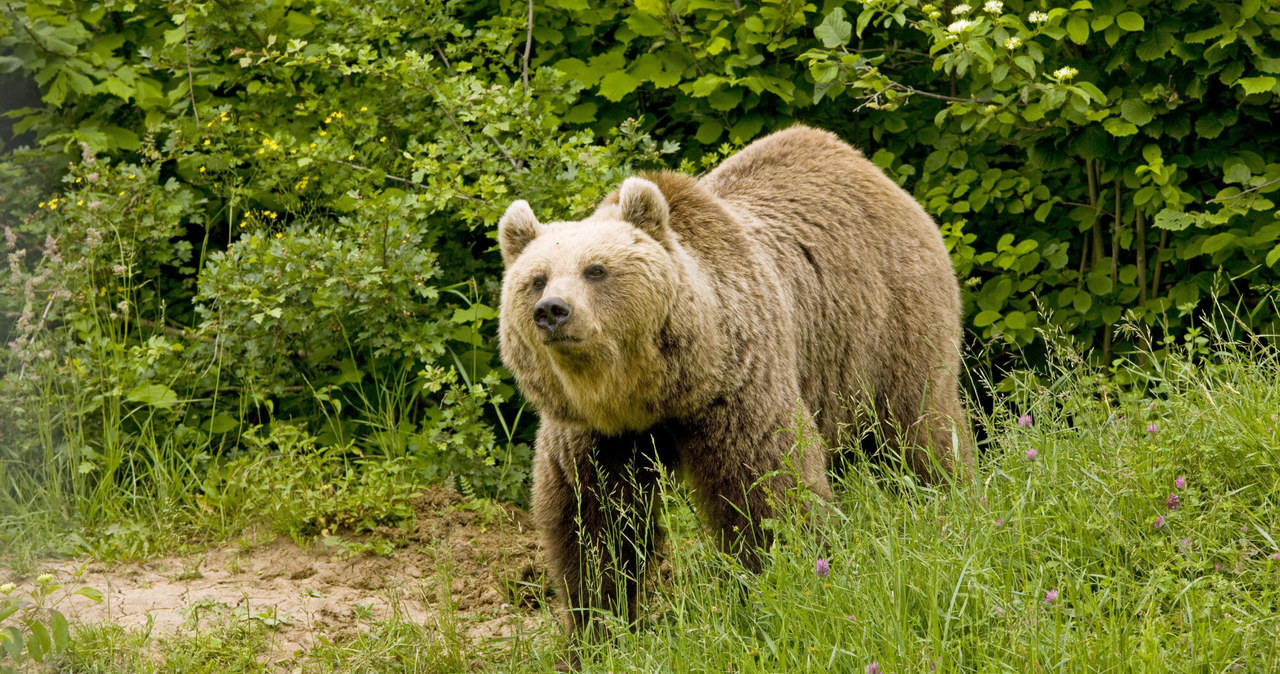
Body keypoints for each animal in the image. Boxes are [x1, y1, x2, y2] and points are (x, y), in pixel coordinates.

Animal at [499, 125, 967, 639]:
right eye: (537, 278)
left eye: (596, 269)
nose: (552, 310)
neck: (649, 392)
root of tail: (869, 170)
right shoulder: (593, 434)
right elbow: (593, 521)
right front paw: (600, 627)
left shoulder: (737, 386)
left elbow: (766, 491)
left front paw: (783, 590)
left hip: (892, 323)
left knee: (918, 429)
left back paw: (947, 502)